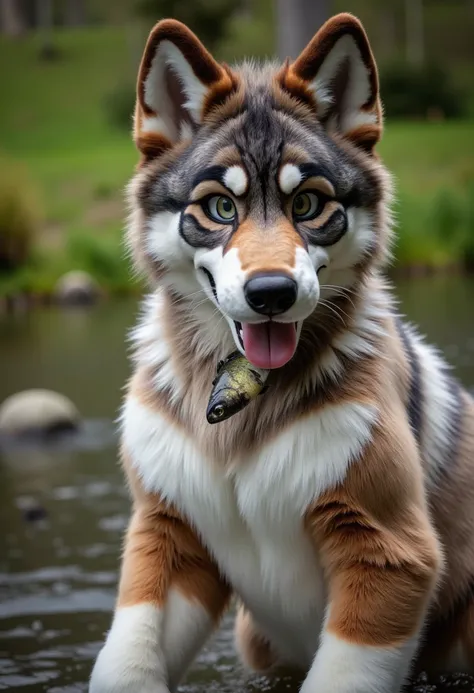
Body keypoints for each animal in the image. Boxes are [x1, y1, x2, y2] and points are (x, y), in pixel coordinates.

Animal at [90, 12, 474, 692]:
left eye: (307, 203)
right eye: (220, 206)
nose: (271, 293)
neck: (236, 426)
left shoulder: (388, 551)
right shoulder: (169, 533)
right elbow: (125, 660)